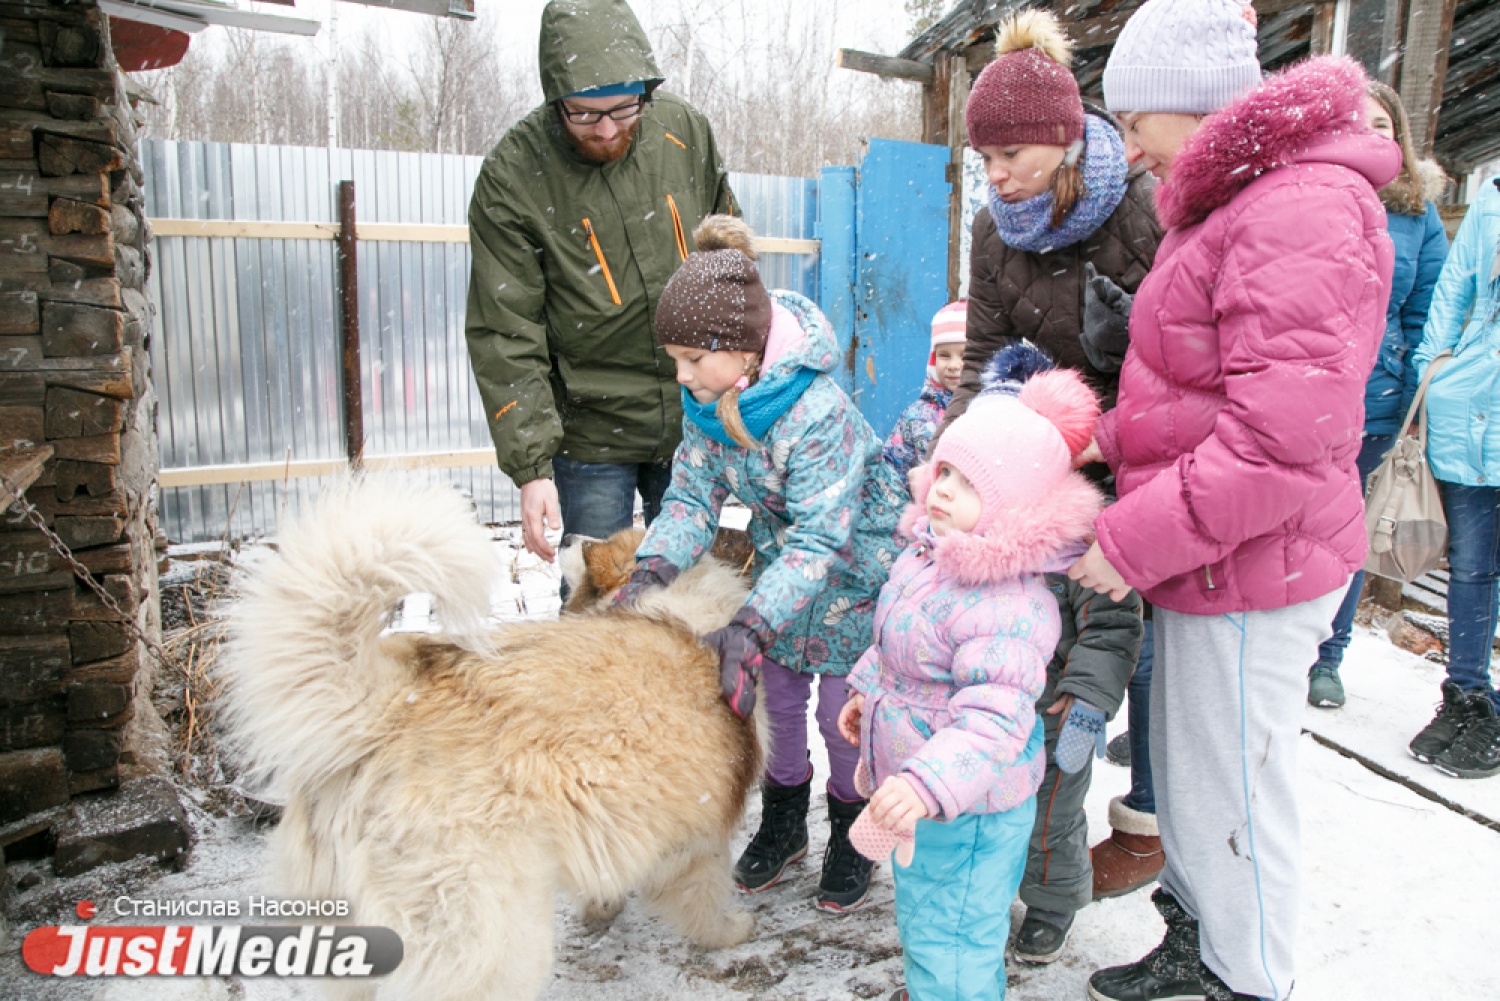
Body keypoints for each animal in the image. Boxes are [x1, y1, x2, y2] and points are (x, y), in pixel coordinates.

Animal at [218, 477, 764, 1000]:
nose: (567, 535)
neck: (667, 607)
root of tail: (384, 704)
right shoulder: (698, 832)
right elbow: (707, 891)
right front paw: (730, 931)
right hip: (497, 938)